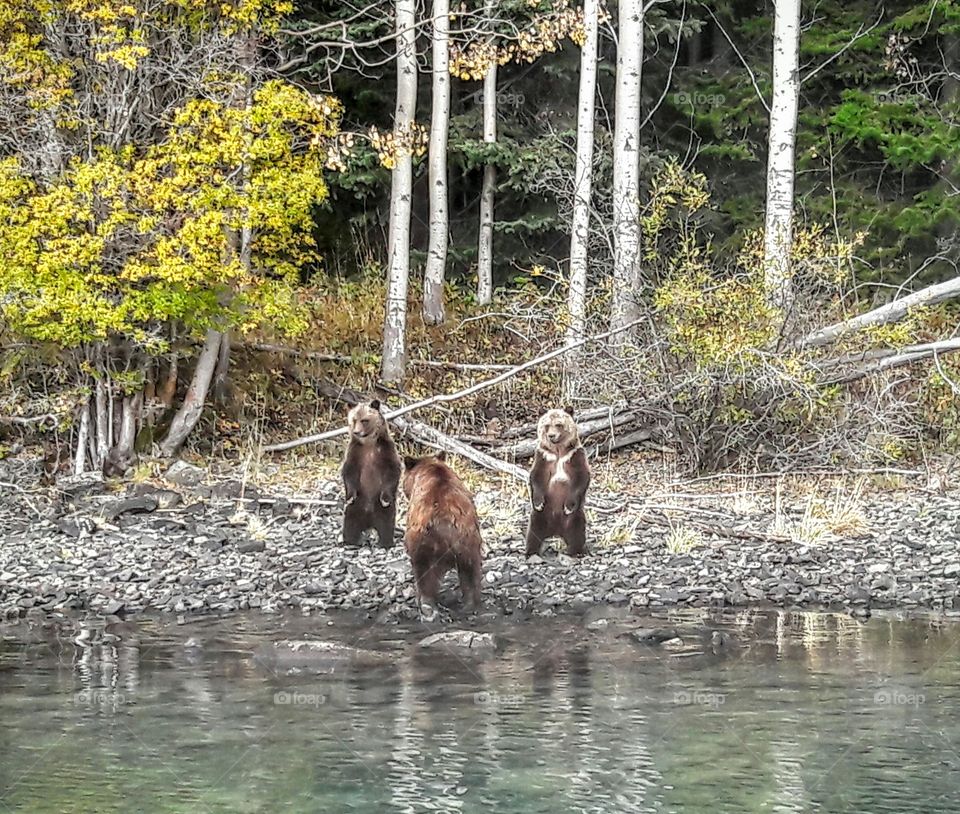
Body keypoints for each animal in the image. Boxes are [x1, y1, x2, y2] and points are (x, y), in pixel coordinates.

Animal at [342, 400, 402, 548]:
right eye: (354, 420)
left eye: (365, 420)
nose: (357, 432)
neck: (368, 444)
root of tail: (369, 523)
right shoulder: (355, 452)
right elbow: (349, 472)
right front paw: (350, 496)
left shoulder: (385, 450)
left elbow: (393, 471)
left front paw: (385, 498)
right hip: (356, 507)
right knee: (350, 523)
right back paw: (352, 541)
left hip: (381, 509)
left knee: (386, 524)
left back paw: (385, 542)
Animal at [402, 452, 484, 612]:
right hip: (469, 543)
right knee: (470, 572)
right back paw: (470, 603)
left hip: (422, 543)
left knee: (424, 574)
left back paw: (426, 603)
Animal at [524, 408, 592, 560]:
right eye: (547, 425)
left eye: (559, 424)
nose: (551, 436)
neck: (559, 451)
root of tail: (556, 531)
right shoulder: (544, 457)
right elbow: (536, 476)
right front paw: (538, 502)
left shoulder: (575, 455)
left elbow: (581, 477)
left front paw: (568, 505)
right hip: (541, 516)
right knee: (533, 532)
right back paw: (531, 551)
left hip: (574, 518)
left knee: (577, 533)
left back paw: (575, 551)